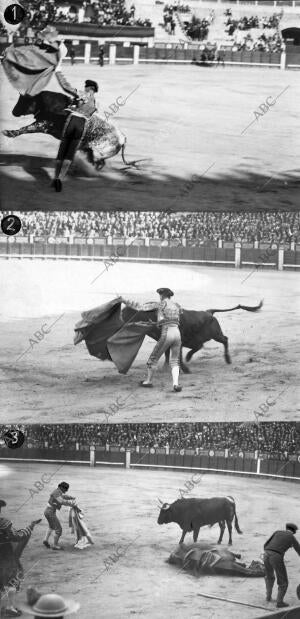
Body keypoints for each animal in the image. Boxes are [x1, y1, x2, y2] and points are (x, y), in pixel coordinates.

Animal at [122, 300, 262, 372]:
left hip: (215, 334)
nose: (120, 317)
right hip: (200, 338)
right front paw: (167, 366)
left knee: (224, 340)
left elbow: (177, 354)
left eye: (129, 313)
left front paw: (184, 368)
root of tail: (209, 312)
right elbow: (168, 353)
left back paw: (227, 359)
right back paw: (189, 357)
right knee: (200, 346)